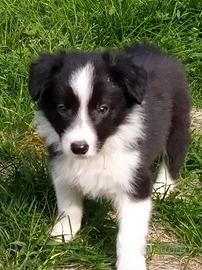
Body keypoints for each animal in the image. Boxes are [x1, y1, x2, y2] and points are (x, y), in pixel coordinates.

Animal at [28, 43, 191, 268]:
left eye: (102, 108)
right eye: (62, 108)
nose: (79, 147)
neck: (99, 152)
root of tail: (156, 50)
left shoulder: (135, 182)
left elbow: (129, 234)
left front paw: (130, 264)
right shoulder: (61, 167)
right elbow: (69, 206)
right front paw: (63, 235)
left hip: (178, 122)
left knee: (174, 158)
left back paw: (162, 188)